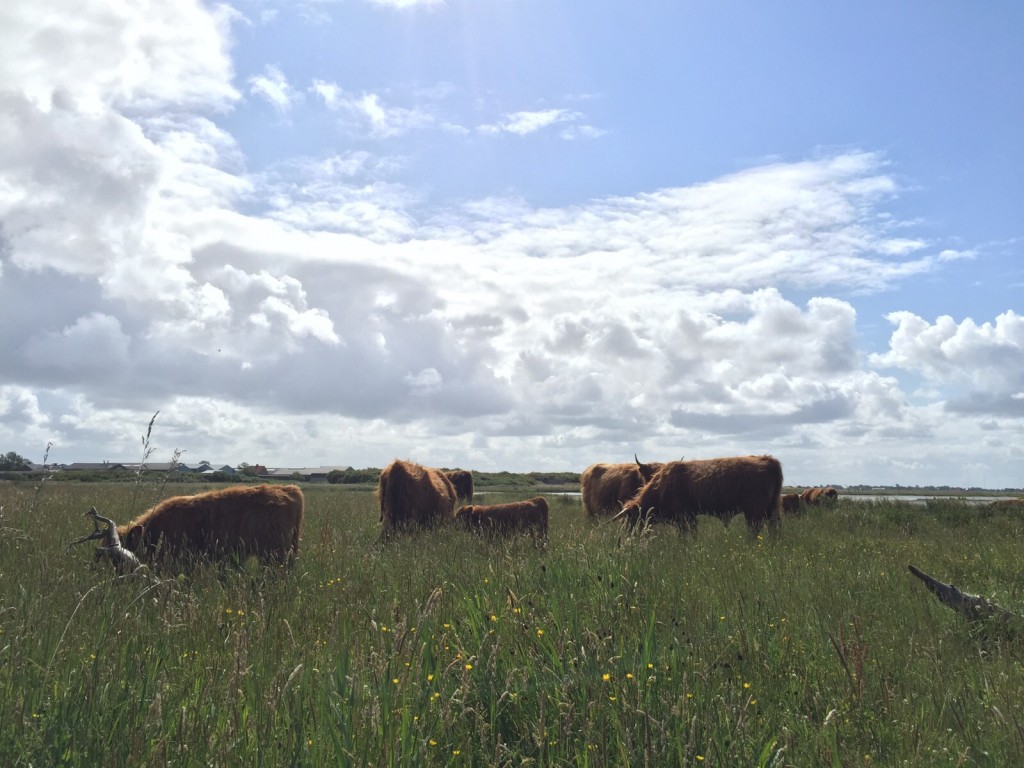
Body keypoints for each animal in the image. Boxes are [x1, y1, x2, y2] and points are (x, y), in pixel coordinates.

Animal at [614, 456, 782, 536]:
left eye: (629, 520)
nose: (628, 538)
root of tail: (767, 459)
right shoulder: (690, 516)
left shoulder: (681, 518)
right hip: (771, 509)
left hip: (754, 512)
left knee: (754, 531)